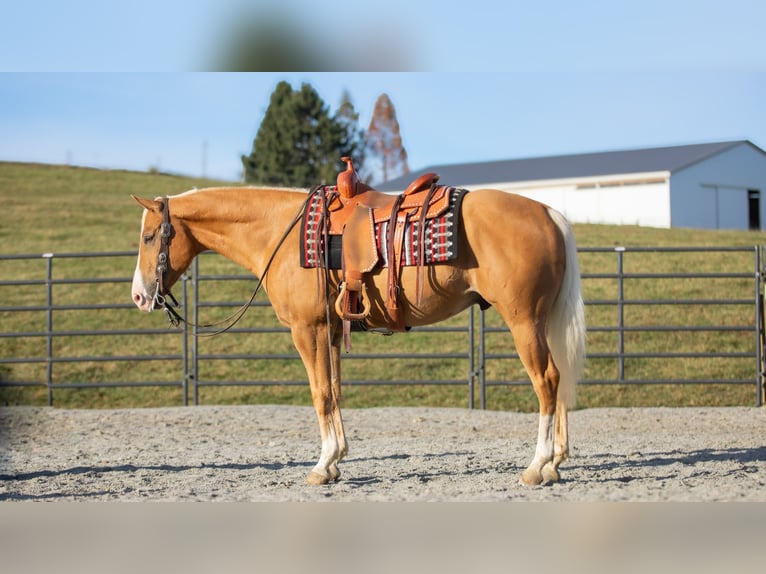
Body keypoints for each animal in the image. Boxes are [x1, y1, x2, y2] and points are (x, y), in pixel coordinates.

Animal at [132, 187, 588, 488]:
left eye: (150, 236)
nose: (138, 295)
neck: (282, 232)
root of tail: (549, 212)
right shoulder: (331, 332)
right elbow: (335, 391)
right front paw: (336, 460)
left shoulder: (308, 330)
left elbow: (320, 394)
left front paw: (321, 466)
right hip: (543, 323)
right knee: (561, 379)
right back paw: (556, 462)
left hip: (524, 323)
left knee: (546, 381)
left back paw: (537, 466)